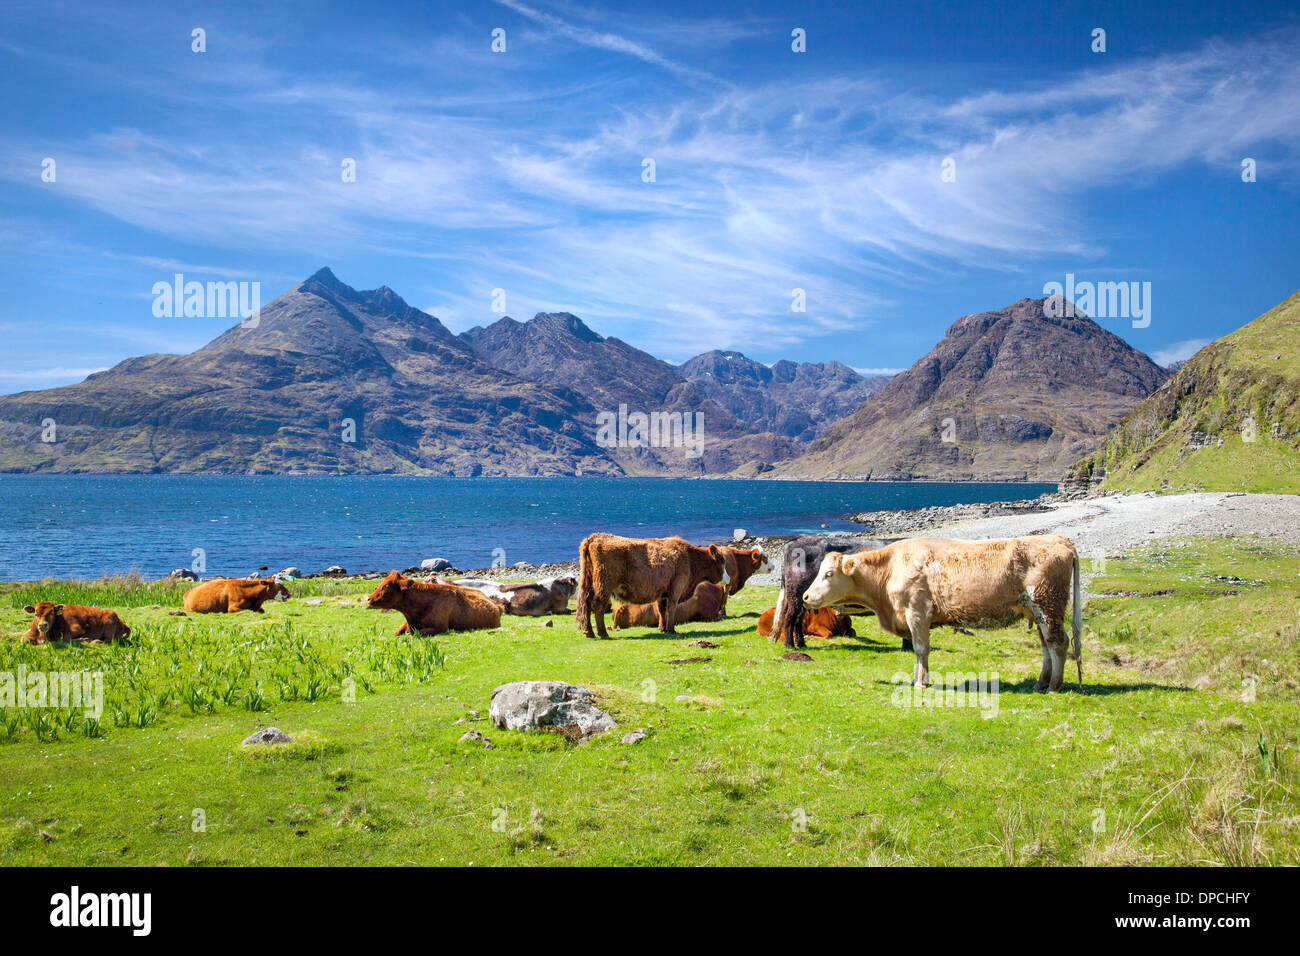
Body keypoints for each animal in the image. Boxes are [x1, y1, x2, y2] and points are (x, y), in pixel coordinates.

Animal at [371, 572, 506, 639]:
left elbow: (418, 633)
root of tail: (497, 607)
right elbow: (398, 632)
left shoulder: (441, 628)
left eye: (386, 586)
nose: (369, 599)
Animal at [574, 535, 728, 639]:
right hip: (604, 585)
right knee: (597, 606)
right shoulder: (676, 588)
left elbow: (662, 609)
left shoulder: (663, 592)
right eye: (722, 562)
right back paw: (603, 633)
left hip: (590, 584)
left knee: (586, 604)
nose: (728, 578)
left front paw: (663, 628)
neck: (689, 558)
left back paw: (589, 632)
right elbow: (671, 608)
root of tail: (596, 537)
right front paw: (671, 629)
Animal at [800, 535, 1086, 691]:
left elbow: (920, 649)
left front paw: (921, 682)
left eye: (829, 574)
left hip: (1048, 607)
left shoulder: (917, 612)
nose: (805, 597)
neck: (890, 568)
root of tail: (1060, 540)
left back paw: (1053, 686)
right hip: (1039, 613)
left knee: (1059, 643)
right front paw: (918, 679)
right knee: (1046, 646)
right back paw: (1041, 683)